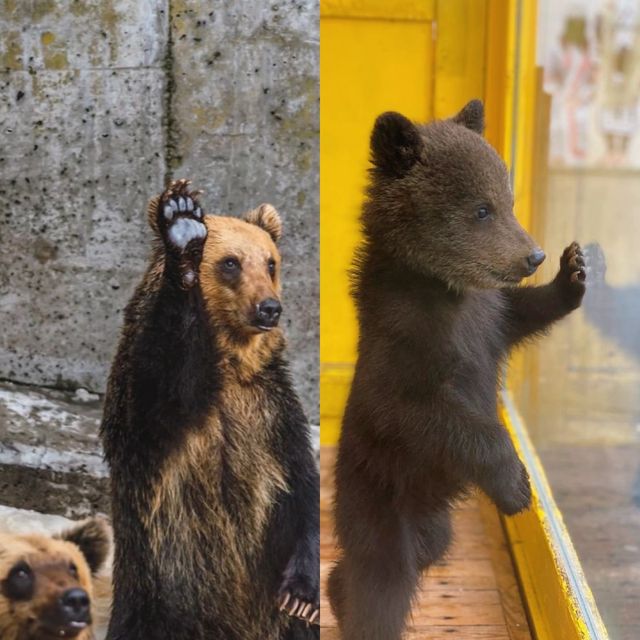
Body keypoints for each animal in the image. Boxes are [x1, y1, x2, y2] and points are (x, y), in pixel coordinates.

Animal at [102, 180, 320, 640]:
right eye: (231, 263)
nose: (269, 308)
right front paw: (183, 223)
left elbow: (302, 485)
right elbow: (169, 370)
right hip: (154, 602)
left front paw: (300, 595)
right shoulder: (152, 409)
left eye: (270, 263)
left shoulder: (272, 411)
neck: (232, 367)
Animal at [328, 101, 588, 640]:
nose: (533, 255)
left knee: (421, 552)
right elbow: (428, 414)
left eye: (508, 200)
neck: (443, 288)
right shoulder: (406, 345)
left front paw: (574, 272)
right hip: (380, 498)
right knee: (382, 577)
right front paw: (516, 487)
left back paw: (336, 590)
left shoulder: (489, 322)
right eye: (480, 209)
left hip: (436, 524)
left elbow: (520, 312)